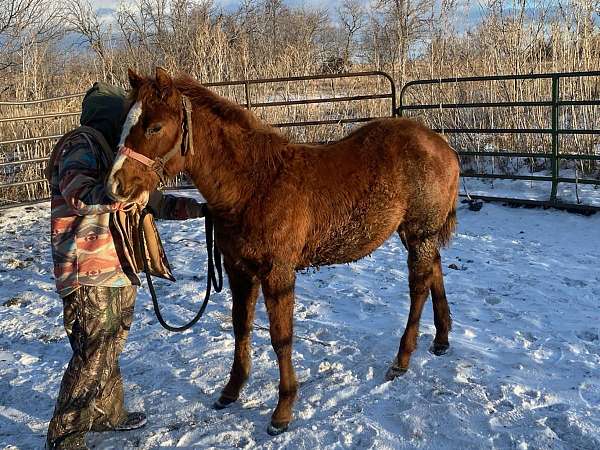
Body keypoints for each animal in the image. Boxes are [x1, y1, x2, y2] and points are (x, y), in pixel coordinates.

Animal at [106, 66, 460, 432]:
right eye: (125, 123)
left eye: (155, 126)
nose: (116, 185)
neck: (254, 186)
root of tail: (440, 145)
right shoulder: (237, 269)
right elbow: (241, 325)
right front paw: (231, 390)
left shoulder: (278, 272)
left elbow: (281, 337)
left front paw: (283, 409)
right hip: (416, 233)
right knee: (435, 270)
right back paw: (441, 340)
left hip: (419, 232)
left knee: (419, 285)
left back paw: (402, 359)